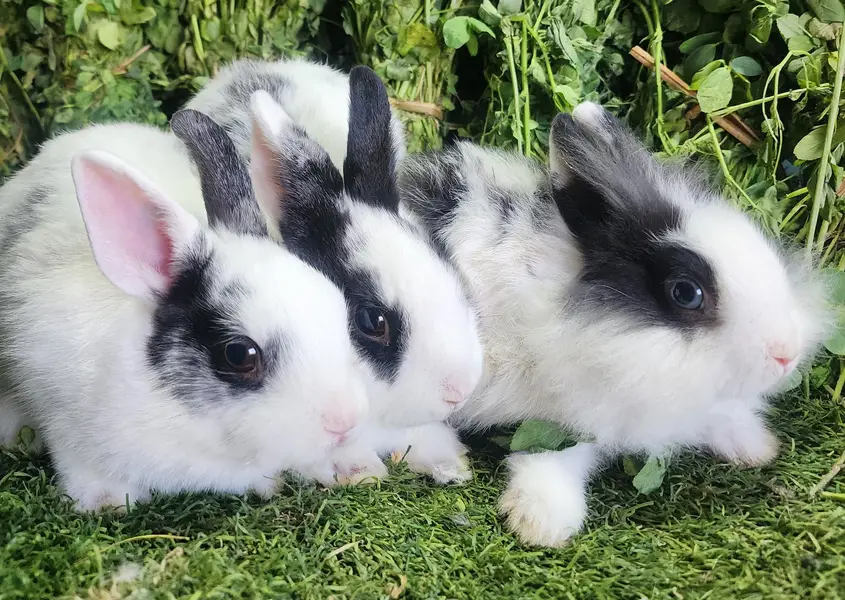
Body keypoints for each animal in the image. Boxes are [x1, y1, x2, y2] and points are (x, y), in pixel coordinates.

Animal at [398, 101, 832, 547]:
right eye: (686, 293)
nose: (786, 354)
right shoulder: (566, 411)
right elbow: (553, 457)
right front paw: (543, 523)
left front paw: (757, 447)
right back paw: (447, 462)